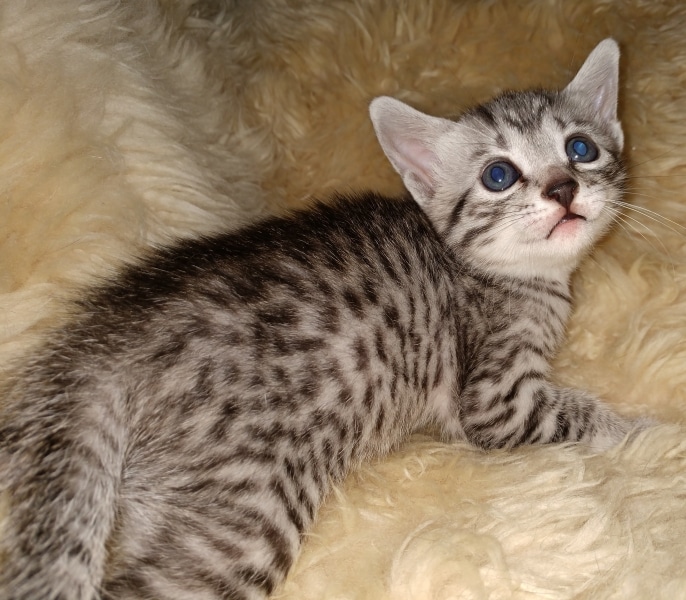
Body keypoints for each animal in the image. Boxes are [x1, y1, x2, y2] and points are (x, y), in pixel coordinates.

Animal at [0, 39, 649, 600]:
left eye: (580, 149)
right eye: (499, 175)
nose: (563, 188)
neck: (519, 276)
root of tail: (107, 340)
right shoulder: (497, 399)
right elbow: (580, 416)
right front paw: (647, 432)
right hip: (251, 507)